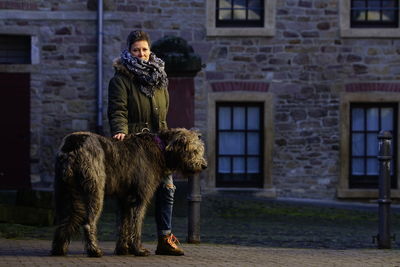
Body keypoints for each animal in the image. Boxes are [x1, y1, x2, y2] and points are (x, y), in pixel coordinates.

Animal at [50, 129, 206, 258]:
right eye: (194, 150)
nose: (204, 165)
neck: (160, 148)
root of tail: (72, 145)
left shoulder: (124, 198)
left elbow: (124, 224)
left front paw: (123, 249)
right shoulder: (140, 197)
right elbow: (136, 224)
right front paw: (138, 249)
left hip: (64, 191)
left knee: (63, 220)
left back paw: (59, 248)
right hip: (94, 190)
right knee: (89, 223)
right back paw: (95, 250)